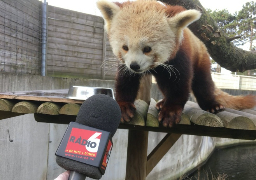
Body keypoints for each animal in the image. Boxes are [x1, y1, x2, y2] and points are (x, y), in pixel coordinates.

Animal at [97, 0, 256, 126]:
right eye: (125, 47)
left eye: (147, 49)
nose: (134, 66)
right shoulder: (125, 63)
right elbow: (126, 81)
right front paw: (123, 106)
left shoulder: (180, 57)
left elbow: (179, 86)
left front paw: (170, 111)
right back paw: (162, 102)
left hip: (201, 58)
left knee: (203, 83)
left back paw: (212, 105)